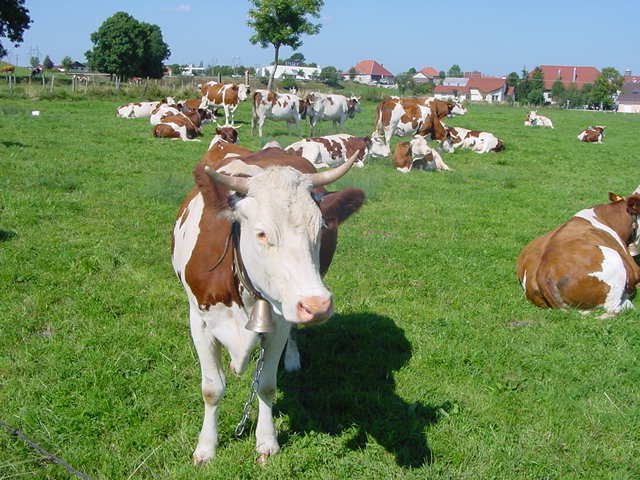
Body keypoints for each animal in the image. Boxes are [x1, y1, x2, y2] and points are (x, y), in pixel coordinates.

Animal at [172, 146, 365, 464]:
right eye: (262, 233)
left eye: (320, 229)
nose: (318, 304)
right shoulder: (198, 321)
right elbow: (212, 389)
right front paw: (206, 447)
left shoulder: (279, 323)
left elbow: (266, 385)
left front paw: (266, 441)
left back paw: (293, 359)